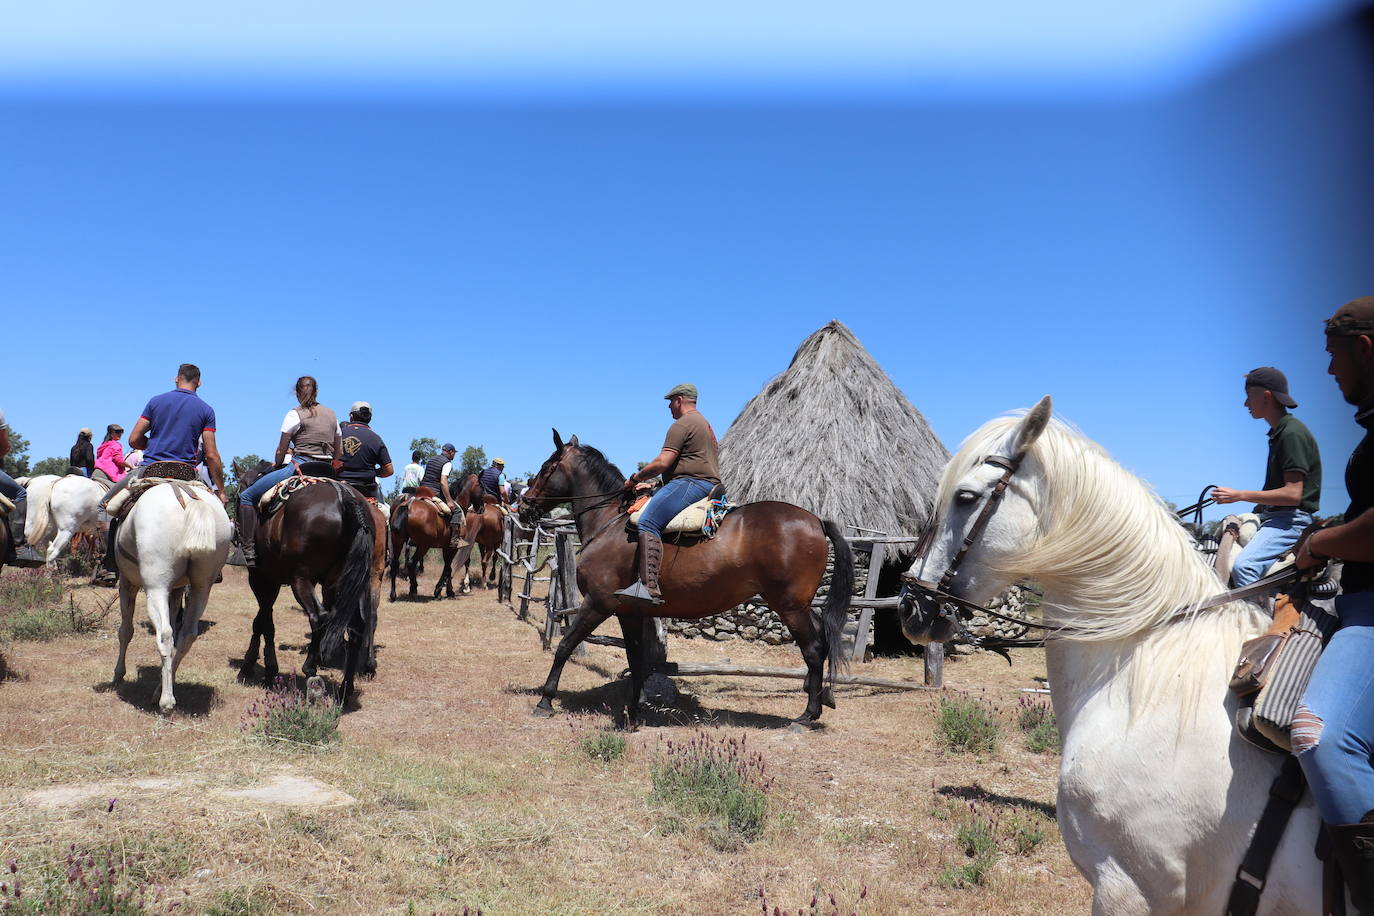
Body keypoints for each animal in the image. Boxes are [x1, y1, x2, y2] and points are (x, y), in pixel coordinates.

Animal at [111, 483, 232, 714]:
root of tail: (190, 498)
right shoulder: (177, 589)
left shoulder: (126, 583)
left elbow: (125, 631)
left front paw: (118, 675)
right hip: (202, 586)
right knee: (187, 635)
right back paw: (161, 689)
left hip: (155, 587)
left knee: (165, 635)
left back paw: (166, 701)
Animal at [240, 461, 379, 708]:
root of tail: (345, 497)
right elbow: (265, 620)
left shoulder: (260, 578)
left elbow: (262, 621)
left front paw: (254, 667)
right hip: (348, 583)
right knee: (357, 627)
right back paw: (345, 690)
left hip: (301, 580)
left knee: (319, 617)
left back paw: (310, 669)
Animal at [519, 431, 851, 730]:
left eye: (547, 467)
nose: (524, 506)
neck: (609, 523)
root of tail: (815, 520)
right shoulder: (629, 612)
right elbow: (635, 658)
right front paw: (634, 711)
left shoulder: (598, 604)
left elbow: (566, 645)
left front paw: (545, 700)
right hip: (799, 605)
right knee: (822, 639)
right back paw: (820, 699)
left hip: (789, 606)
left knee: (813, 649)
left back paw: (806, 716)